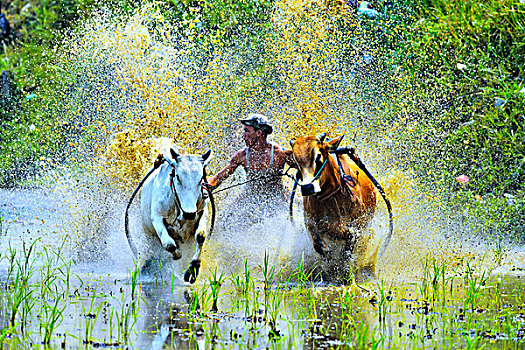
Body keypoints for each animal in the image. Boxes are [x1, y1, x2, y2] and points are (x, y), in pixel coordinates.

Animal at [138, 138, 214, 284]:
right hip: (149, 234)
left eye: (201, 178)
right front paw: (177, 255)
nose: (189, 214)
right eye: (178, 177)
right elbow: (169, 245)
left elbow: (201, 235)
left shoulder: (203, 212)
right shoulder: (157, 217)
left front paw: (193, 268)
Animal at [288, 133, 382, 282]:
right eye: (296, 162)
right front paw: (329, 266)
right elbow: (320, 246)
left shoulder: (357, 226)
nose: (307, 187)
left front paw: (344, 273)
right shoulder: (309, 220)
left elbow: (347, 253)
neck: (331, 197)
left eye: (318, 157)